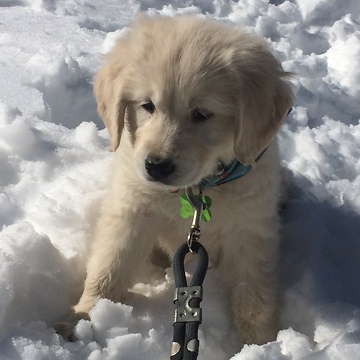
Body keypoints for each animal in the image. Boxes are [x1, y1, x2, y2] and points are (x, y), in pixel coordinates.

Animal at [56, 14, 292, 346]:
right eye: (147, 105)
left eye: (202, 113)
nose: (156, 166)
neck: (194, 190)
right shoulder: (132, 208)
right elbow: (110, 266)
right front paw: (83, 317)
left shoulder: (250, 228)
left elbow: (255, 291)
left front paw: (260, 344)